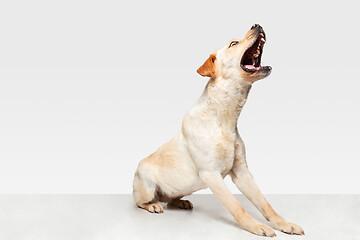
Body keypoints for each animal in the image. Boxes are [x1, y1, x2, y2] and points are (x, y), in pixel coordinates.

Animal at [132, 23, 304, 236]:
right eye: (233, 43)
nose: (257, 25)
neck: (223, 119)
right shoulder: (211, 174)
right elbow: (237, 206)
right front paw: (256, 226)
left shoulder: (242, 171)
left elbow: (264, 203)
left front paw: (283, 224)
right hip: (146, 185)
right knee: (141, 202)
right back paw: (153, 205)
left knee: (170, 199)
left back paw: (180, 202)